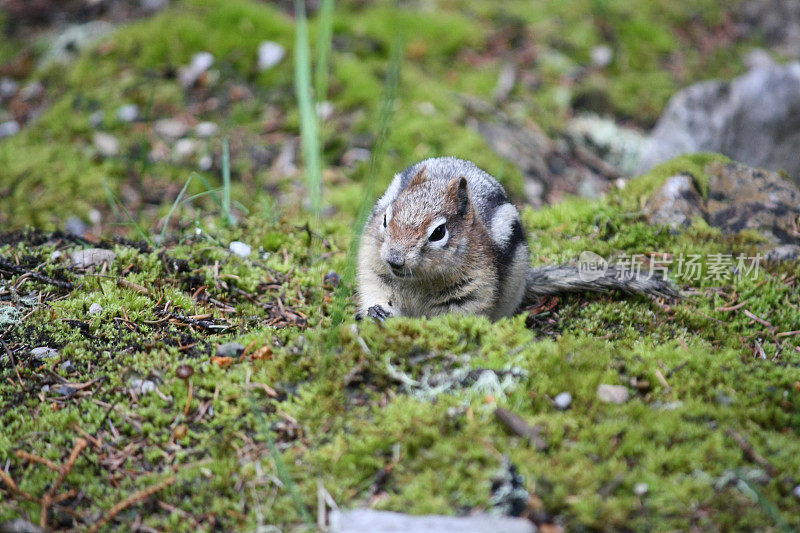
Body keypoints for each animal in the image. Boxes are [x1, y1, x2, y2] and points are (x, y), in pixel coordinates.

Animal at [356, 156, 676, 318]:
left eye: (438, 232)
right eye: (385, 219)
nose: (395, 260)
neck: (418, 281)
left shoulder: (472, 290)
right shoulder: (375, 271)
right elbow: (377, 294)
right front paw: (377, 314)